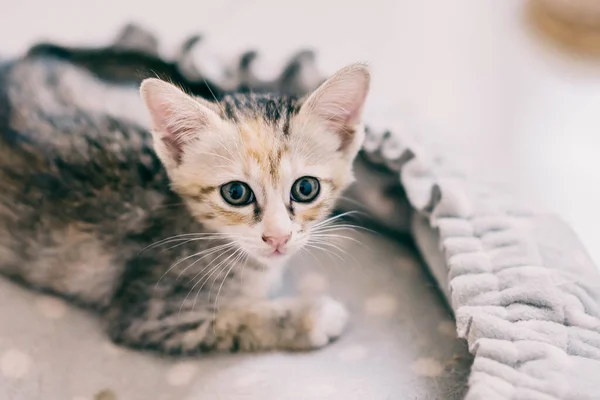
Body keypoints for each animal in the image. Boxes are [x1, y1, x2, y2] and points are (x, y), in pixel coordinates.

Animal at [0, 58, 370, 354]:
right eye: (236, 193)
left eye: (305, 188)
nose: (277, 238)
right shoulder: (150, 311)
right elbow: (235, 318)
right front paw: (313, 316)